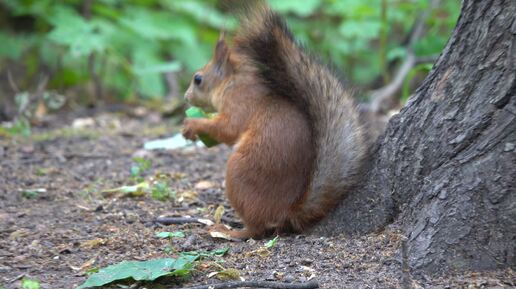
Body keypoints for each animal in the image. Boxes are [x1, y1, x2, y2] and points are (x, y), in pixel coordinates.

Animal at [183, 5, 368, 238]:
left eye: (198, 79)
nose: (186, 97)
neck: (233, 82)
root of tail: (286, 211)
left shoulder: (240, 104)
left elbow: (228, 129)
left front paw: (193, 125)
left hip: (239, 174)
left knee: (257, 228)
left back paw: (230, 231)